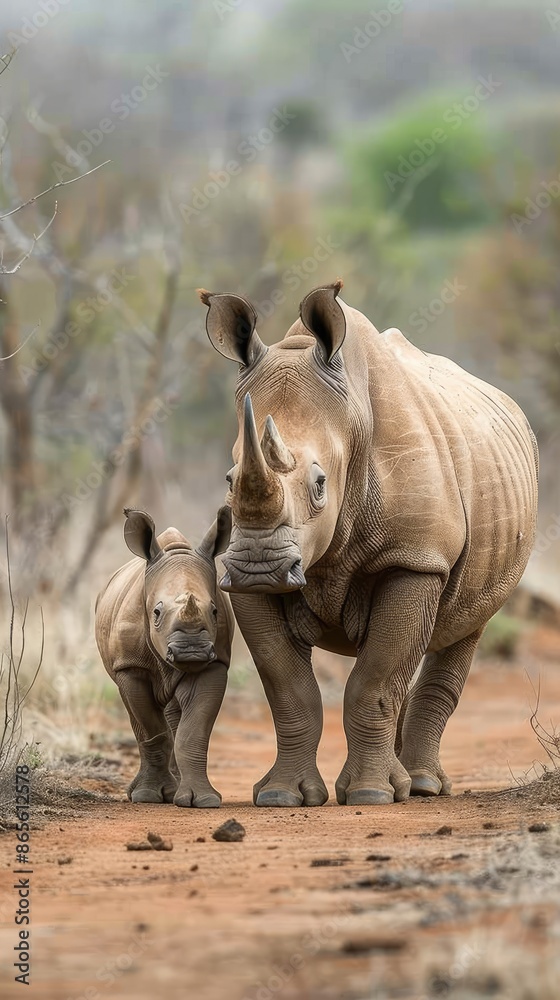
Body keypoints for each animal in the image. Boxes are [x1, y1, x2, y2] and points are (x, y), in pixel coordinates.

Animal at [95, 506, 233, 807]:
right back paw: (146, 793)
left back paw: (175, 791)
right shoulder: (130, 667)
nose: (191, 650)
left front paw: (203, 800)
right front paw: (147, 796)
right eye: (156, 613)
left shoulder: (215, 662)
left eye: (214, 611)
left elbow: (193, 733)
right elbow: (151, 730)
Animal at [198, 280, 539, 807]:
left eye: (320, 485)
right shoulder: (241, 581)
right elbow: (288, 687)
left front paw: (371, 794)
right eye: (230, 480)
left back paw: (421, 786)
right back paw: (409, 781)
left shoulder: (416, 557)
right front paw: (280, 796)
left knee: (464, 627)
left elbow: (374, 679)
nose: (261, 567)